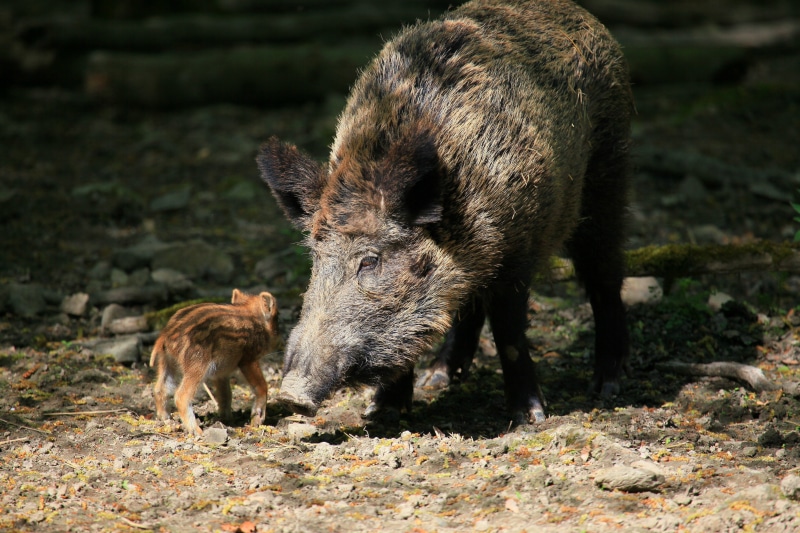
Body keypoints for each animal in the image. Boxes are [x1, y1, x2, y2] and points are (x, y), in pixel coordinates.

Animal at [150, 289, 281, 435]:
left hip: (166, 362)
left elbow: (225, 394)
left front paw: (228, 420)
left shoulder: (221, 372)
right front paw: (257, 421)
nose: (279, 342)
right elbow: (262, 386)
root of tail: (166, 335)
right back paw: (197, 431)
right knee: (181, 396)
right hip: (198, 365)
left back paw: (165, 419)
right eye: (277, 316)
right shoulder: (248, 359)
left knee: (160, 389)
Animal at [257, 0, 632, 424]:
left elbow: (509, 331)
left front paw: (528, 417)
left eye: (370, 260)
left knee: (604, 273)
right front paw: (382, 412)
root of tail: (583, 16)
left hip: (608, 173)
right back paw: (437, 380)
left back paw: (606, 386)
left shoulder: (519, 250)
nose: (290, 394)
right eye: (316, 258)